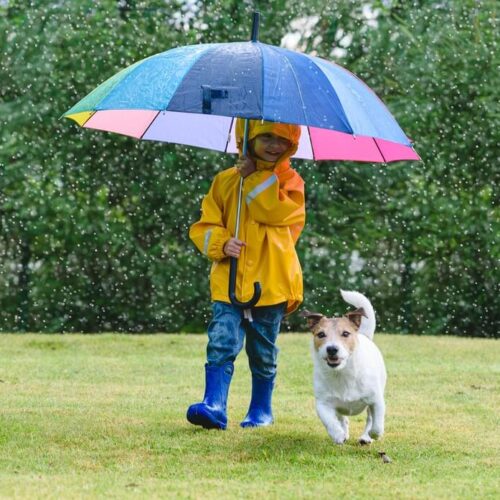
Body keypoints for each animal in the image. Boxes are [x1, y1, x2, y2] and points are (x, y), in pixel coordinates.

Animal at [300, 290, 386, 446]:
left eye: (345, 333)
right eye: (321, 334)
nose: (332, 349)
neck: (342, 373)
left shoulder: (376, 400)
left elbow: (376, 423)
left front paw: (373, 434)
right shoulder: (323, 404)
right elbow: (330, 422)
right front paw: (338, 435)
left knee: (370, 418)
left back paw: (366, 437)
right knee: (342, 419)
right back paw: (344, 432)